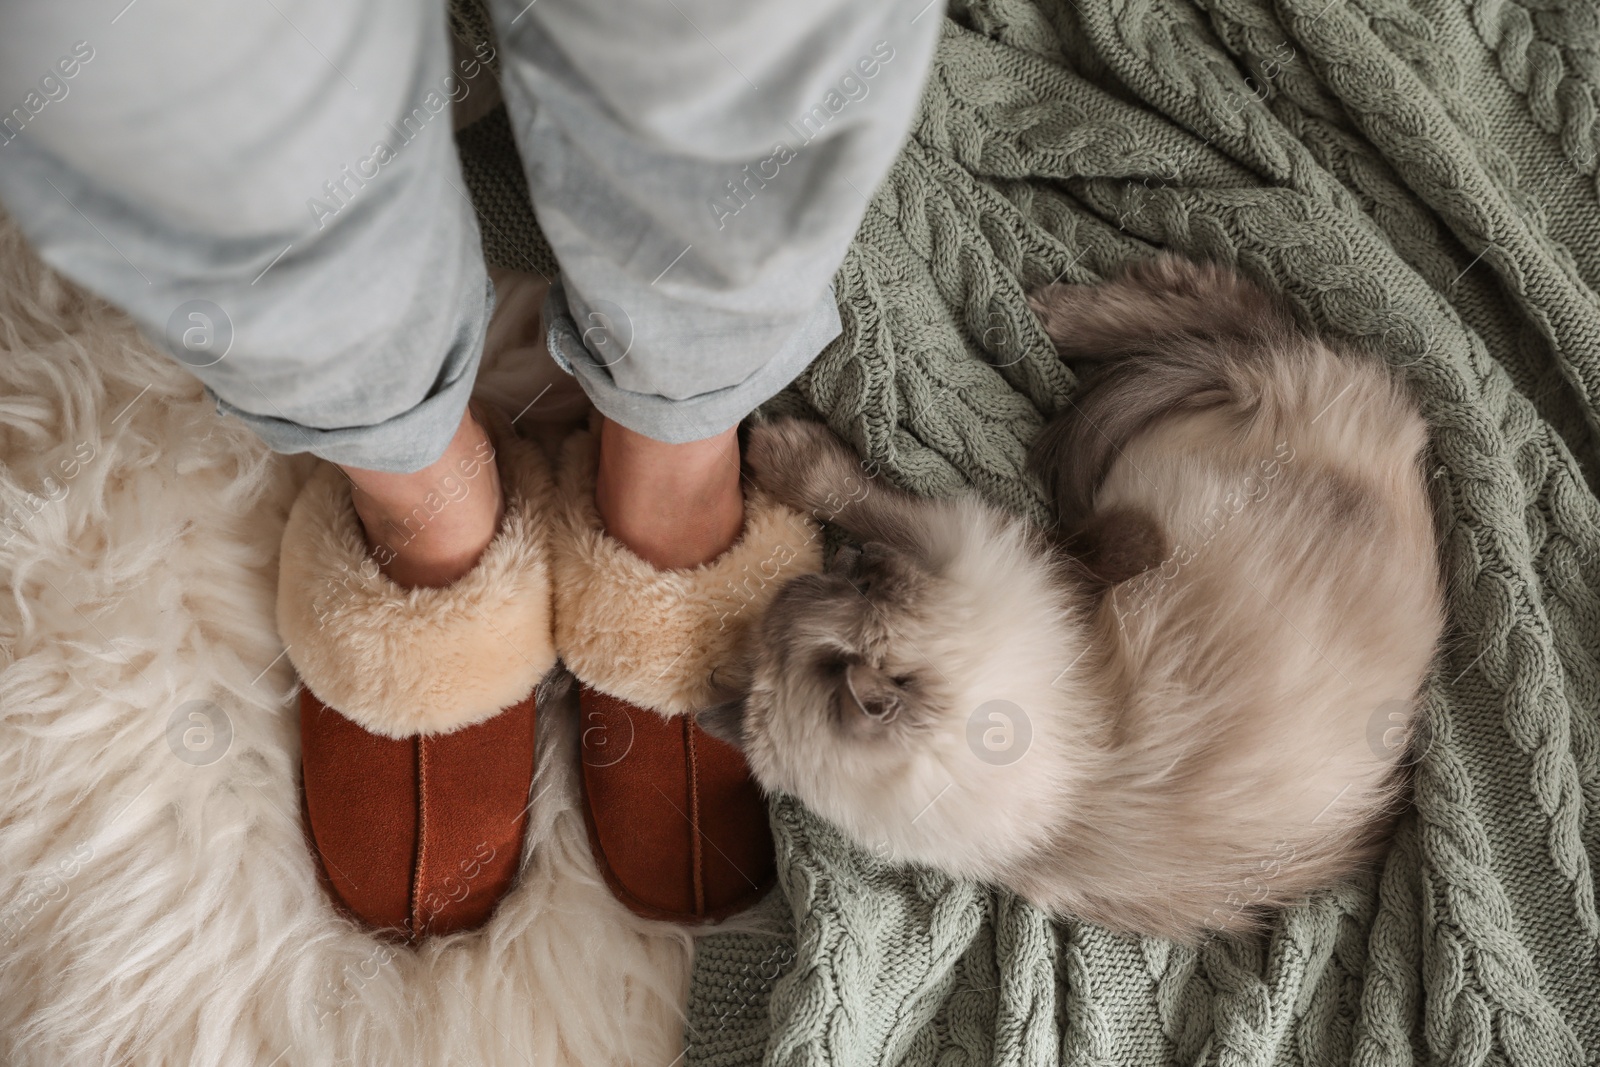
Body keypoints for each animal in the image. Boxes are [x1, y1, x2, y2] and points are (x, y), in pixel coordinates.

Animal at [707, 254, 1446, 940]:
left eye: (853, 586)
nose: (815, 574)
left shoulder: (991, 546)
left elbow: (855, 495)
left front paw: (777, 453)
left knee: (1248, 317)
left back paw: (1051, 314)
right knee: (1251, 322)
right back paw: (1058, 316)